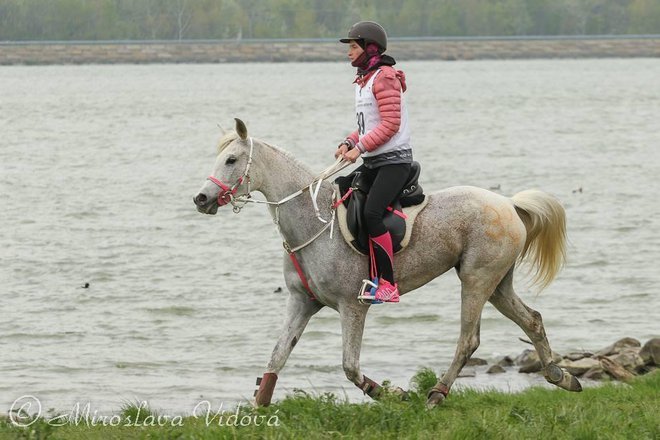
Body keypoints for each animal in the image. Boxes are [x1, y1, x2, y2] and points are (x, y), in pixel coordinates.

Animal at [193, 118, 580, 408]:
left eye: (231, 160)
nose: (201, 198)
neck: (314, 221)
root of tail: (509, 204)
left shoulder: (352, 306)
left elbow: (349, 366)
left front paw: (393, 393)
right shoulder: (302, 303)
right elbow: (276, 358)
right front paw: (259, 407)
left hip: (476, 280)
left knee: (468, 340)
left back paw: (437, 394)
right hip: (497, 283)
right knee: (532, 319)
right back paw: (561, 376)